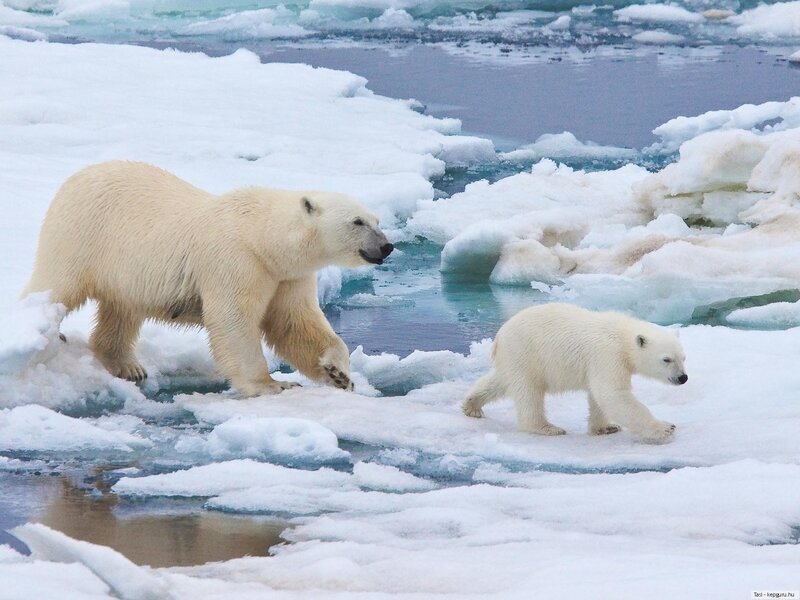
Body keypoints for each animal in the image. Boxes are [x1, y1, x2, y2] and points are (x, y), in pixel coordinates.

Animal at [22, 161, 394, 397]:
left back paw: (128, 366)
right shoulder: (237, 260)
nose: (387, 246)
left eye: (377, 220)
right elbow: (233, 320)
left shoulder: (286, 276)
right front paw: (272, 384)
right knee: (56, 284)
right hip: (82, 233)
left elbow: (295, 323)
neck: (262, 236)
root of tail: (77, 177)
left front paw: (339, 374)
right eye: (358, 222)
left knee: (122, 310)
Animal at [462, 303, 687, 443]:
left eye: (683, 357)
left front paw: (605, 428)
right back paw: (547, 427)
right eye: (667, 359)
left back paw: (471, 406)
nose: (682, 378)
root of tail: (499, 337)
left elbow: (598, 396)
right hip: (526, 354)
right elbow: (612, 394)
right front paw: (664, 428)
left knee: (499, 381)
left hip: (514, 359)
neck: (622, 337)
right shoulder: (607, 355)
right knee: (529, 393)